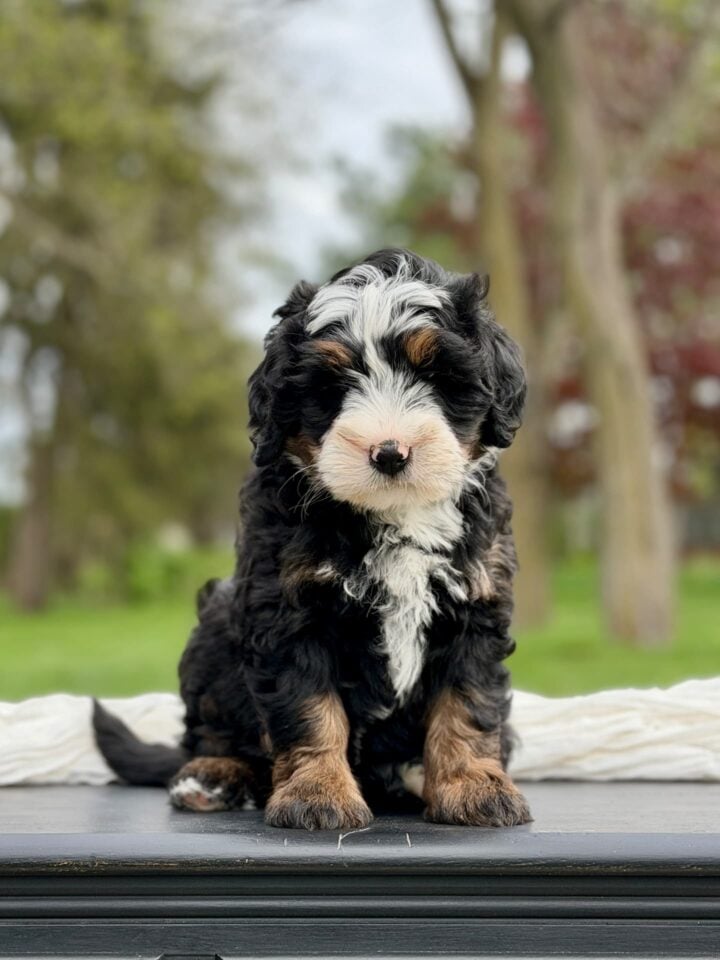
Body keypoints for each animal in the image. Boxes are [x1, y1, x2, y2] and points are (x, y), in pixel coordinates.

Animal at [94, 248, 531, 830]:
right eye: (332, 388)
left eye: (437, 377)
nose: (389, 453)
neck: (394, 514)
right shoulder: (288, 610)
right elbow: (309, 709)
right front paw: (317, 793)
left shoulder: (476, 600)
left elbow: (468, 703)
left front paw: (473, 785)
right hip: (215, 629)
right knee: (209, 731)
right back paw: (212, 775)